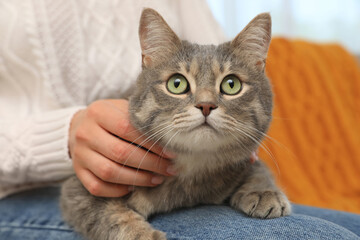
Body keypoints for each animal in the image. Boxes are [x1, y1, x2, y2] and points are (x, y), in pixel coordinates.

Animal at [60, 7, 292, 240]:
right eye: (177, 84)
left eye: (231, 84)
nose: (206, 105)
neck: (191, 167)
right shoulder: (81, 189)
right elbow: (112, 215)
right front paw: (142, 235)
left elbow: (258, 170)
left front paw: (264, 192)